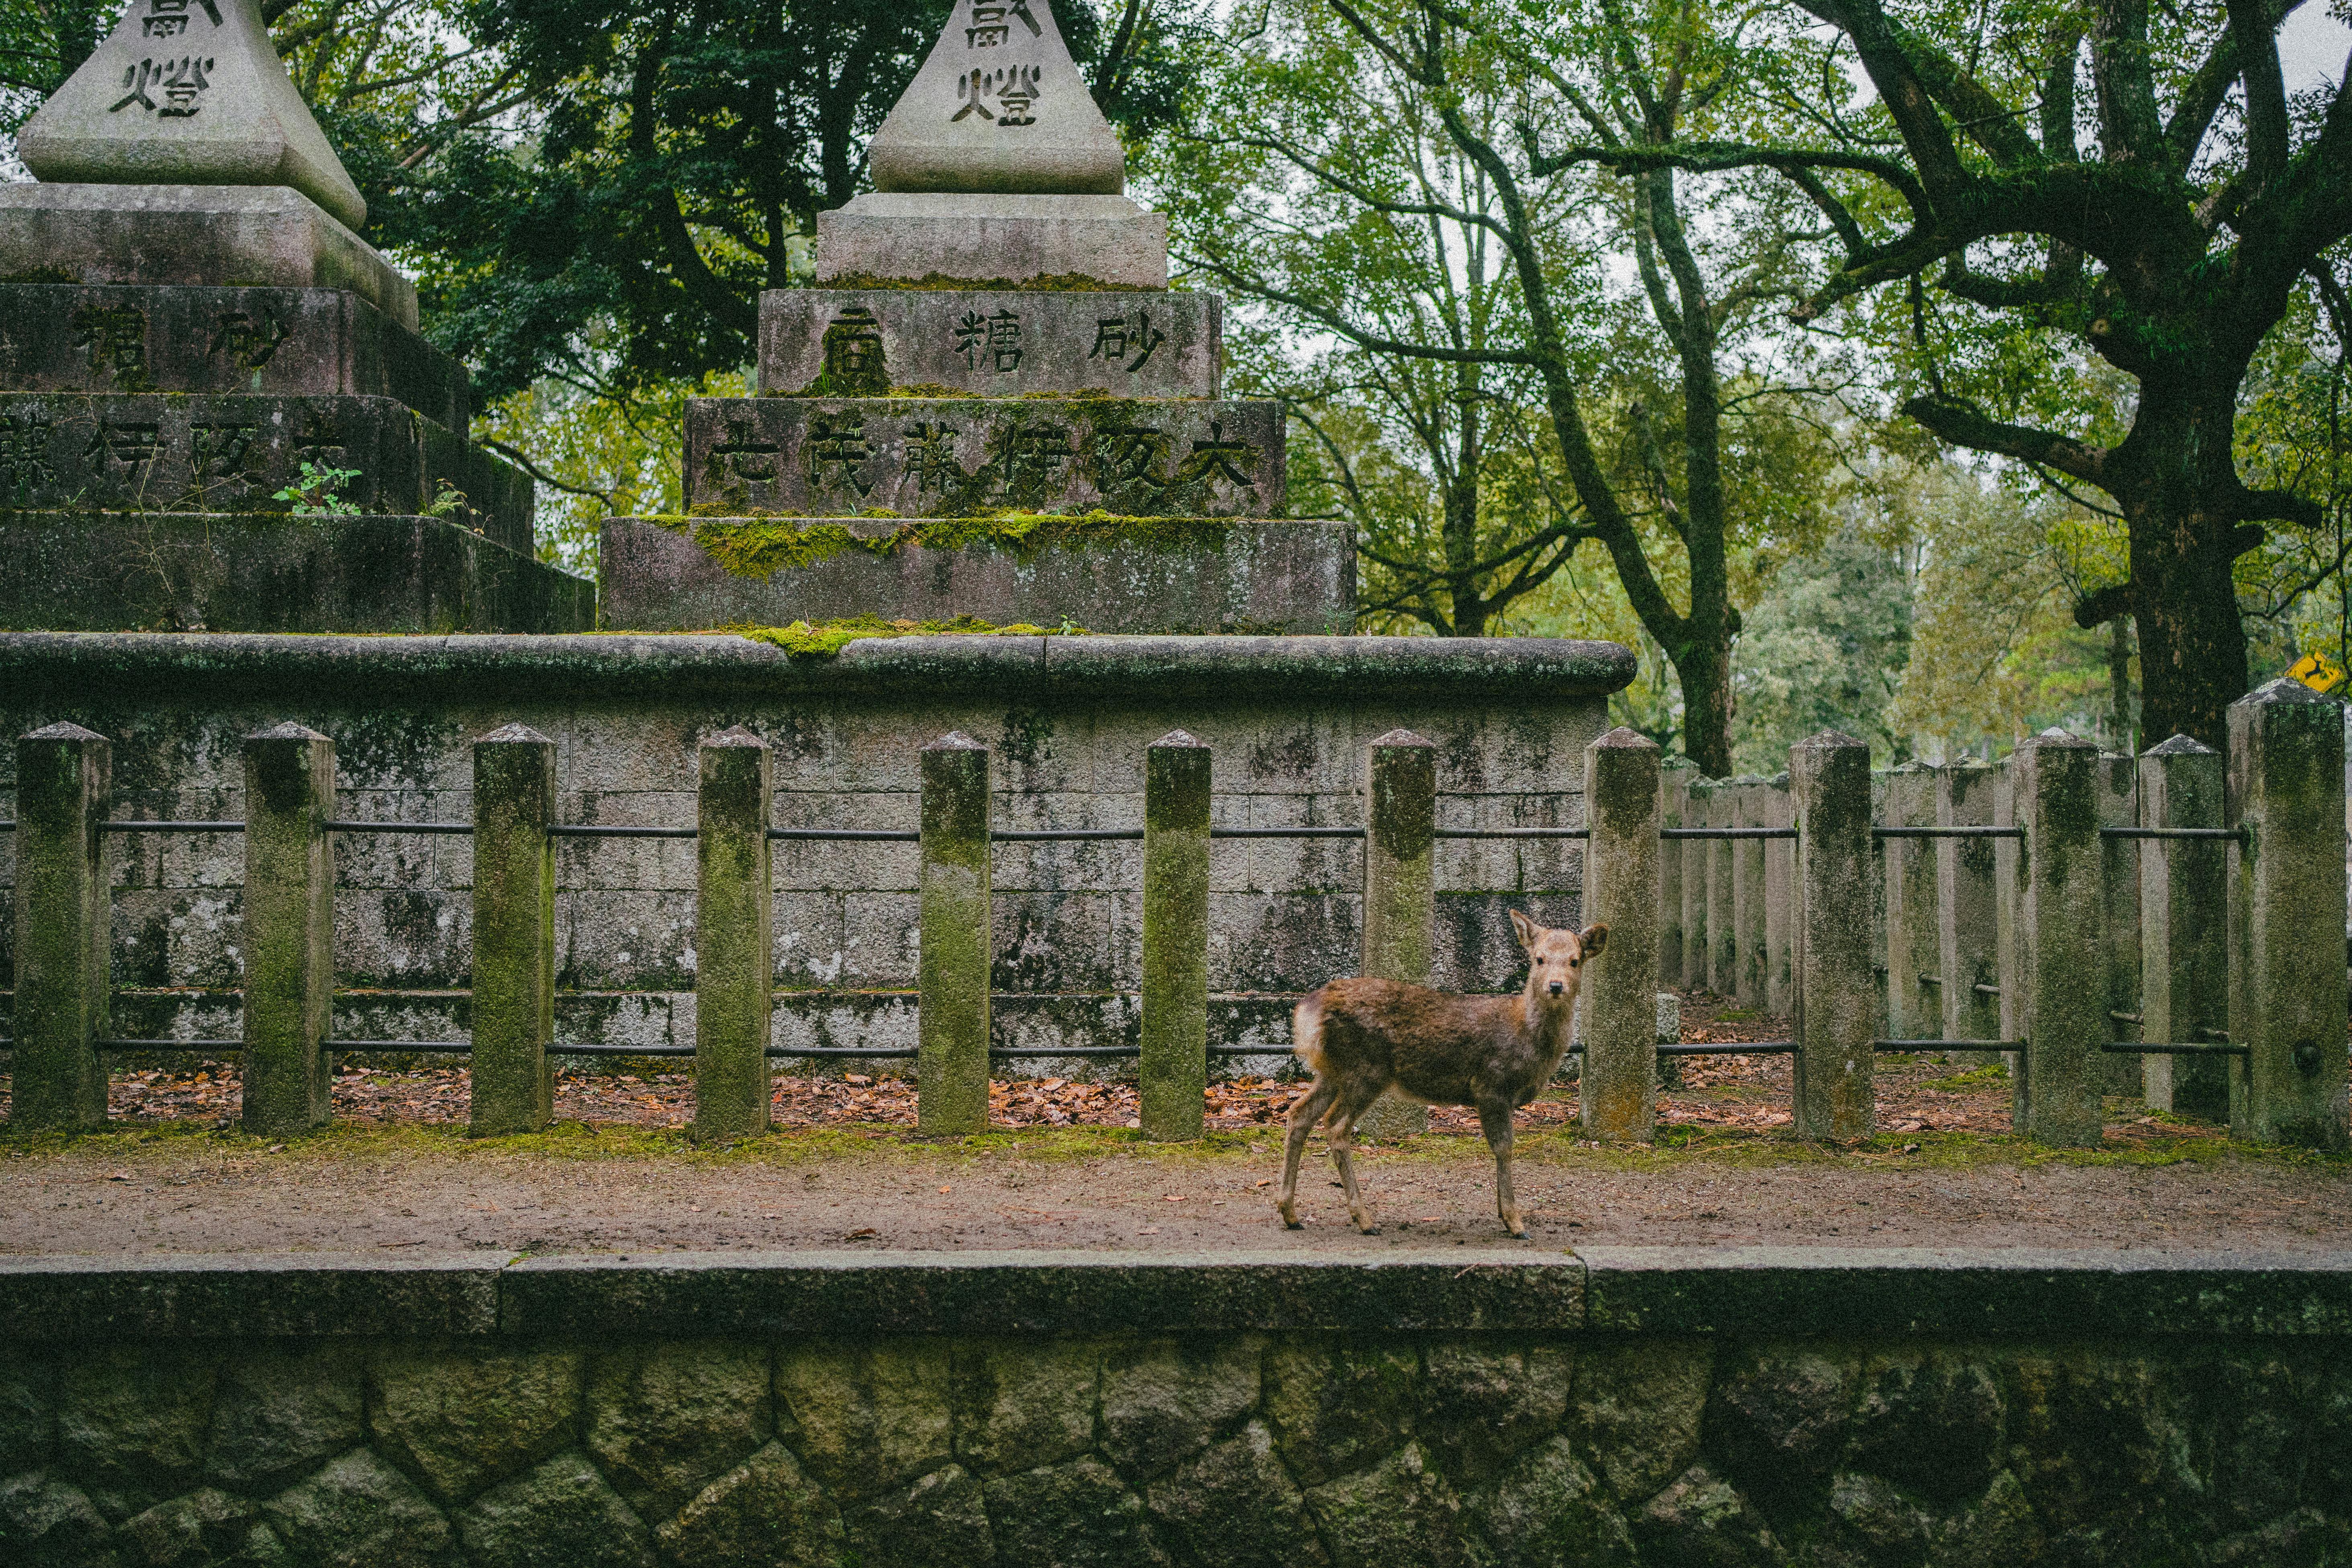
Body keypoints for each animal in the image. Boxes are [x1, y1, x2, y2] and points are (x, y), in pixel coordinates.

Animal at [1276, 911, 1605, 1238]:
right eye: (1539, 959)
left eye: (1575, 961)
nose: (1555, 985)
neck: (1529, 1041)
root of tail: (1307, 1013)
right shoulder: (1492, 1085)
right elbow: (1504, 1148)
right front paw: (1515, 1223)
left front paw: (1503, 1214)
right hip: (1366, 1069)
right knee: (1335, 1125)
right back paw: (1364, 1219)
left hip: (1333, 1071)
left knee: (1299, 1113)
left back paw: (1290, 1213)